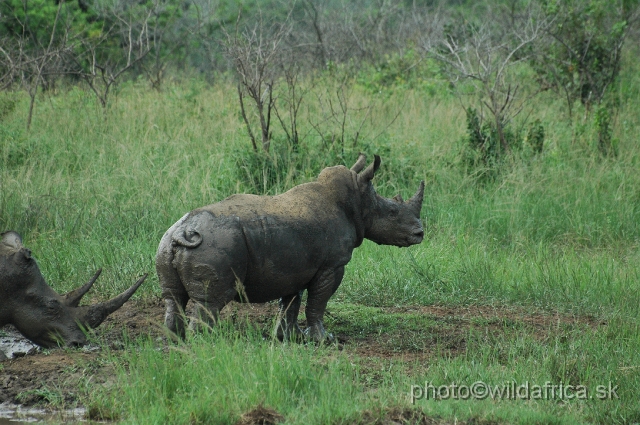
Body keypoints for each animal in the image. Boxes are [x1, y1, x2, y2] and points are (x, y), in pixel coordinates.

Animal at [156, 153, 424, 342]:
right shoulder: (332, 264)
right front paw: (323, 339)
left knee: (173, 298)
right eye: (392, 211)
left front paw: (288, 338)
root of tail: (183, 231)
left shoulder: (293, 267)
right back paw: (209, 343)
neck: (356, 201)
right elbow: (318, 301)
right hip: (215, 245)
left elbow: (291, 302)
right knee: (210, 302)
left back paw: (175, 341)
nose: (420, 233)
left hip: (165, 244)